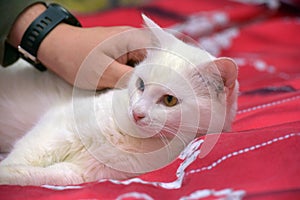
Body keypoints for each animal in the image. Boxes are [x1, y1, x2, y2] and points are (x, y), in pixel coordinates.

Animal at [0, 15, 238, 186]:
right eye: (140, 84)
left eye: (169, 100)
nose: (137, 113)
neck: (127, 136)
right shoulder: (56, 129)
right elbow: (25, 155)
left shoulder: (82, 173)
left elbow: (39, 175)